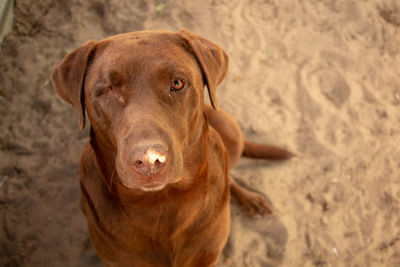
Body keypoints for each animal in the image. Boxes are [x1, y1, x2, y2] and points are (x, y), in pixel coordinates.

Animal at [51, 29, 292, 267]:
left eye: (177, 83)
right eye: (109, 89)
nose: (149, 160)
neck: (162, 201)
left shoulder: (206, 257)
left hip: (230, 130)